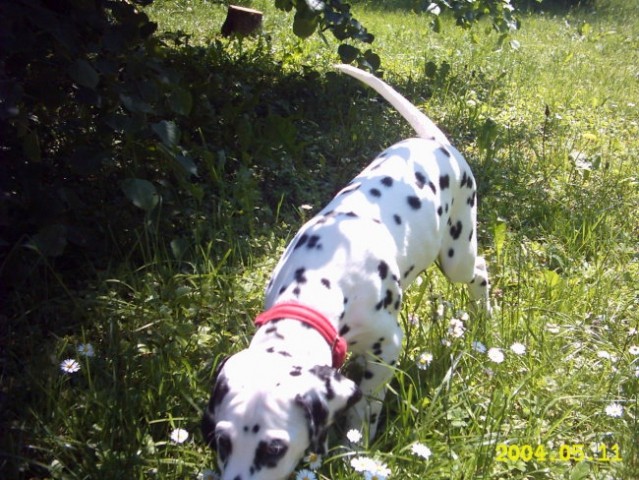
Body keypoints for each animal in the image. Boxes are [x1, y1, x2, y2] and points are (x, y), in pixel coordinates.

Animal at [202, 64, 492, 480]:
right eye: (223, 442)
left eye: (274, 449)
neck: (318, 285)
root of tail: (437, 143)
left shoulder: (388, 348)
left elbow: (365, 406)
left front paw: (355, 445)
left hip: (457, 253)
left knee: (479, 270)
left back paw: (483, 316)